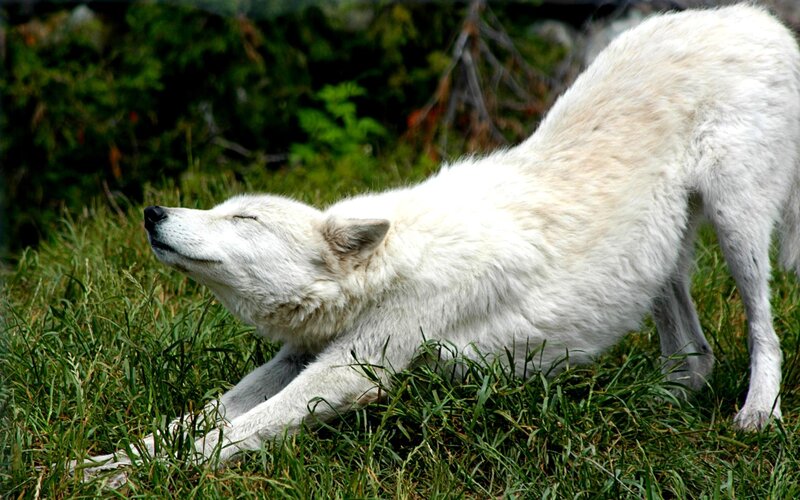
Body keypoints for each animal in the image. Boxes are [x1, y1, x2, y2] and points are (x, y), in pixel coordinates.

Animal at [78, 4, 800, 481]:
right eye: (221, 208)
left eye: (245, 220)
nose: (152, 211)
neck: (390, 268)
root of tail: (757, 18)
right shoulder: (297, 357)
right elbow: (198, 418)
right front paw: (107, 461)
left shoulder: (345, 374)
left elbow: (236, 430)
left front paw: (132, 479)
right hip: (660, 261)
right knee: (695, 354)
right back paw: (646, 407)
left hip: (737, 225)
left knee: (764, 331)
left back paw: (755, 415)